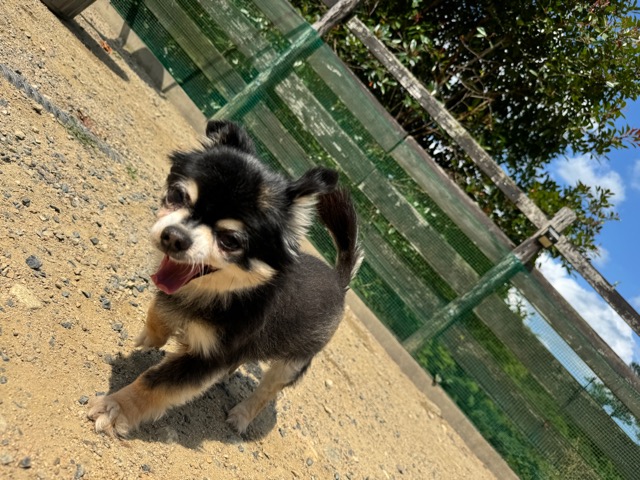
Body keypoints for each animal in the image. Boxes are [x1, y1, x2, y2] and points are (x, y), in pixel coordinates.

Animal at [88, 120, 363, 437]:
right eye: (177, 196)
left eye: (230, 240)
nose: (174, 237)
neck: (220, 292)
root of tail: (339, 281)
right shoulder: (175, 298)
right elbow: (159, 310)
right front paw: (152, 335)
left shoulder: (210, 357)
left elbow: (154, 384)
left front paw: (115, 408)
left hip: (291, 363)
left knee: (267, 391)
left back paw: (242, 415)